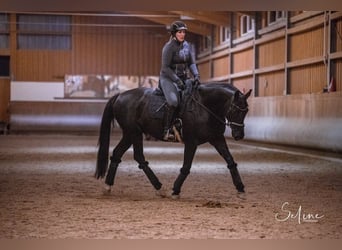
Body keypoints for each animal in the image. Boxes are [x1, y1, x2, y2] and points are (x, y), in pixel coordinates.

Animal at [95, 82, 251, 197]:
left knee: (117, 154)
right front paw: (175, 190)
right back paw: (159, 188)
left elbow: (230, 160)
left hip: (129, 134)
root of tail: (120, 95)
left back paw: (108, 186)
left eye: (246, 111)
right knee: (139, 157)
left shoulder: (217, 138)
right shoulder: (191, 142)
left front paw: (241, 188)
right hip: (134, 132)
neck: (205, 106)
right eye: (235, 110)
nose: (239, 135)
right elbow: (186, 166)